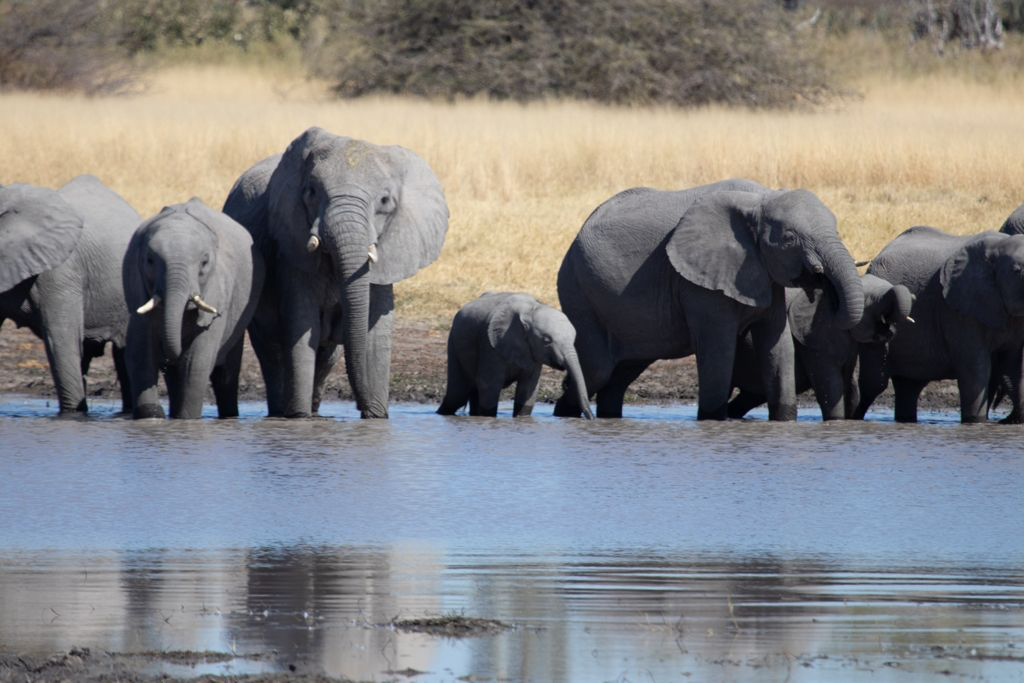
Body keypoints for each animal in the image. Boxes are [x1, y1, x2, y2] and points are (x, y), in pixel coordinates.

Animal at [123, 198, 265, 419]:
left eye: (204, 263)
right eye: (150, 261)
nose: (168, 357)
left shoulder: (218, 286)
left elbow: (196, 363)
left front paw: (186, 419)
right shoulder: (137, 290)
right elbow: (141, 356)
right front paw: (152, 415)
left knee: (225, 372)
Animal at [223, 127, 448, 418]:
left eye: (385, 201)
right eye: (311, 192)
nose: (363, 408)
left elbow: (374, 335)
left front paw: (376, 419)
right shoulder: (291, 251)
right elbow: (301, 323)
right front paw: (299, 418)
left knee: (326, 355)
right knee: (272, 349)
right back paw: (283, 412)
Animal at [437, 292, 594, 418]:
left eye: (574, 339)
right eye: (546, 340)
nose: (591, 417)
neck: (531, 310)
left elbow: (528, 389)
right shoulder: (490, 345)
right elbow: (489, 386)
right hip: (453, 342)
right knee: (457, 395)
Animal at [552, 179, 864, 420]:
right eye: (789, 238)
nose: (821, 281)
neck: (761, 199)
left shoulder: (764, 274)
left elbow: (777, 346)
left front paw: (784, 421)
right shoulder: (700, 283)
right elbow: (719, 348)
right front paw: (713, 420)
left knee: (621, 373)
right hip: (578, 290)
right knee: (598, 369)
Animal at [855, 226, 1024, 423]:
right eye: (1016, 271)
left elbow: (1012, 368)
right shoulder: (957, 310)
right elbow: (975, 371)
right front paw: (976, 422)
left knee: (908, 386)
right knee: (874, 385)